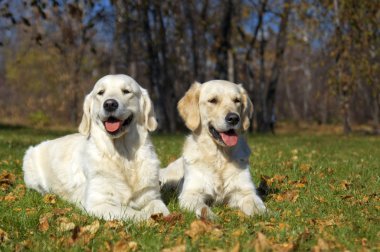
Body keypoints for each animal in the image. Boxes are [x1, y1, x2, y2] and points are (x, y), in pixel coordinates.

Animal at [21, 73, 168, 220]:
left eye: (126, 91)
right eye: (100, 92)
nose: (109, 104)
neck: (122, 155)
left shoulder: (152, 197)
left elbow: (163, 211)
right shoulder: (98, 203)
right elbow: (136, 214)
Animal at [160, 80, 268, 219]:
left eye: (237, 100)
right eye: (213, 100)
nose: (234, 118)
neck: (219, 157)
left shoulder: (245, 191)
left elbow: (256, 205)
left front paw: (262, 215)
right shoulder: (190, 194)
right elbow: (202, 207)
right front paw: (210, 217)